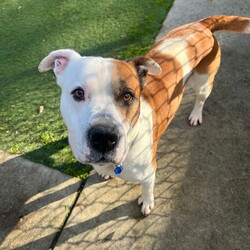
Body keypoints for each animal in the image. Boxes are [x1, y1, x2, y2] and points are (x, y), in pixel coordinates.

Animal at [39, 16, 250, 215]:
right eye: (78, 93)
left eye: (127, 96)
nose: (104, 137)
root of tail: (202, 24)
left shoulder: (149, 172)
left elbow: (147, 189)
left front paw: (147, 203)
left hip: (203, 82)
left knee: (200, 98)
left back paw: (196, 114)